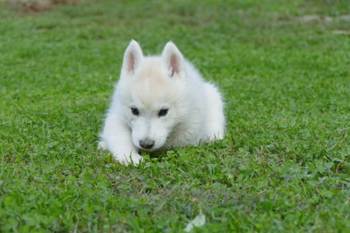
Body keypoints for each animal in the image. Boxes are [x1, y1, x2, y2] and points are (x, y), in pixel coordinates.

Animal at [98, 39, 226, 164]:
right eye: (134, 110)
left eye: (163, 112)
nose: (146, 144)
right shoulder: (116, 116)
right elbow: (119, 138)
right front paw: (131, 157)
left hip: (214, 96)